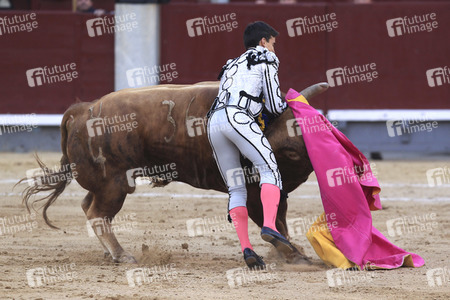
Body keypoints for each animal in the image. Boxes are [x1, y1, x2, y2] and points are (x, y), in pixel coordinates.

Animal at [20, 81, 326, 262]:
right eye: (291, 151)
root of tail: (83, 110)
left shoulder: (278, 190)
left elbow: (279, 218)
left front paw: (292, 251)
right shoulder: (252, 190)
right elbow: (270, 220)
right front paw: (293, 254)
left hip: (106, 183)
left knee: (88, 206)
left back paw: (110, 253)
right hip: (114, 184)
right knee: (97, 213)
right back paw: (121, 255)